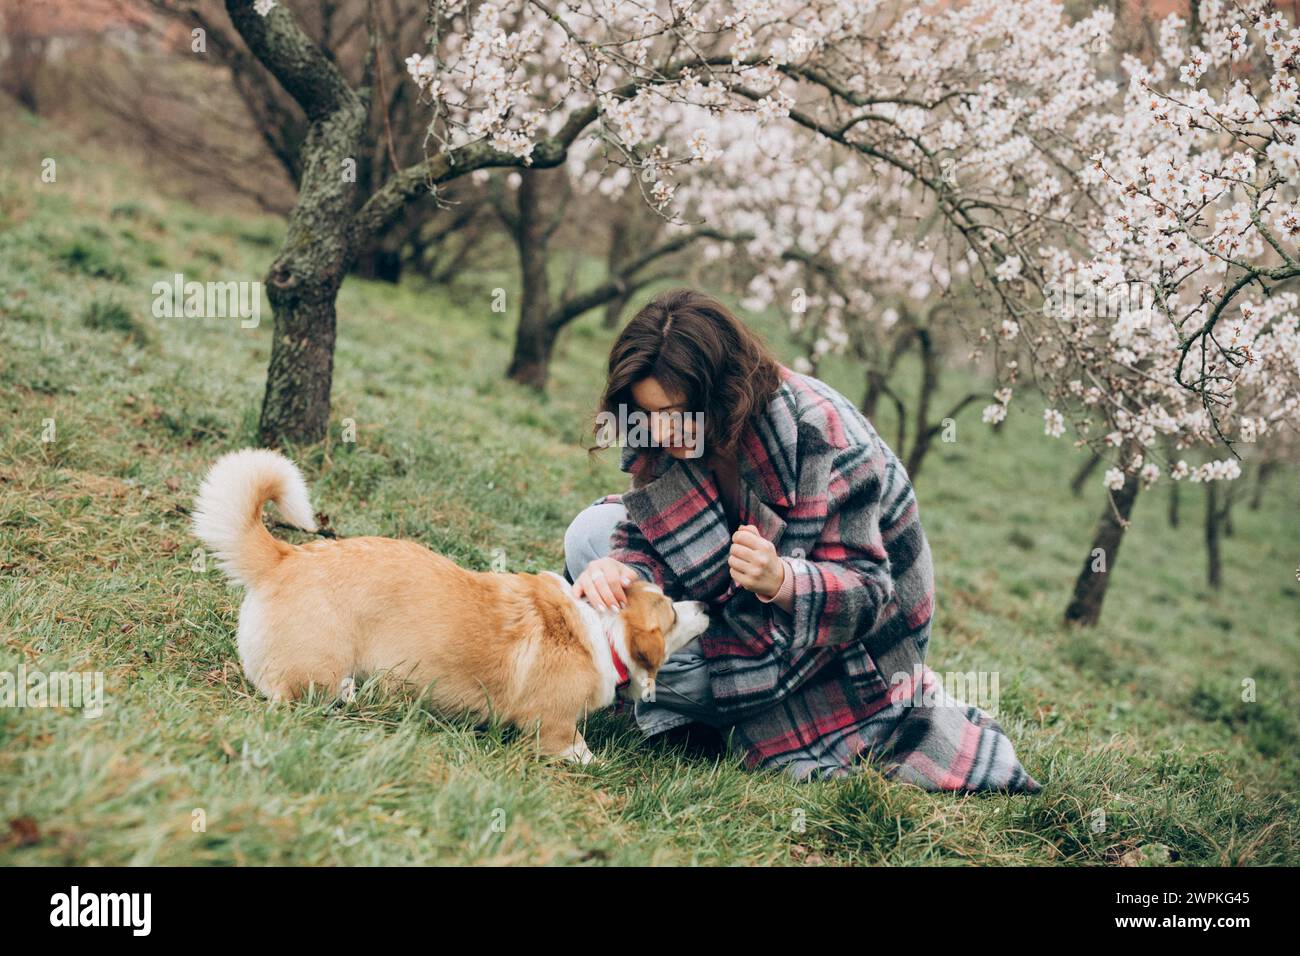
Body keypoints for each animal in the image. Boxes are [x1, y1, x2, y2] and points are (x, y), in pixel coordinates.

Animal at [189, 447, 712, 764]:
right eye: (670, 614)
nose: (706, 605)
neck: (600, 630)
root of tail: (286, 556)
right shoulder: (552, 725)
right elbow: (574, 749)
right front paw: (591, 762)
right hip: (312, 674)